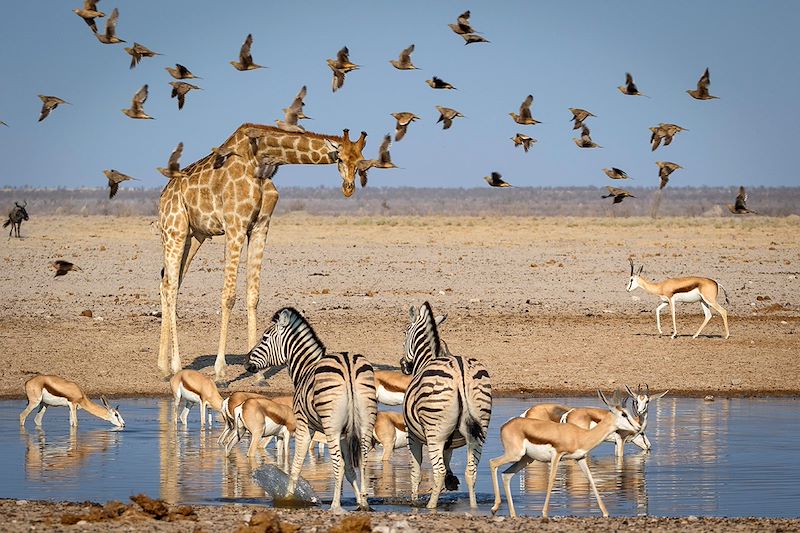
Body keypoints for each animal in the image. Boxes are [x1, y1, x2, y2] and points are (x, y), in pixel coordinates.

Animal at [157, 122, 368, 378]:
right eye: (340, 158)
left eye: (361, 163)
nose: (348, 188)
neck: (260, 160)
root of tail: (165, 193)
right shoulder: (235, 226)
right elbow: (229, 296)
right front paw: (220, 369)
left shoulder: (260, 227)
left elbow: (253, 296)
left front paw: (256, 370)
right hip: (174, 230)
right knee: (170, 286)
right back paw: (175, 366)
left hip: (194, 235)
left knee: (168, 283)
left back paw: (163, 365)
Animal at [244, 308, 378, 512]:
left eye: (265, 337)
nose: (245, 362)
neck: (305, 368)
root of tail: (348, 364)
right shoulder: (345, 434)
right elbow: (350, 470)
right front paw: (360, 501)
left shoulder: (303, 424)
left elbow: (296, 464)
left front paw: (288, 498)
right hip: (365, 424)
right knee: (362, 462)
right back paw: (363, 503)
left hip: (331, 426)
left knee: (337, 464)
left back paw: (335, 506)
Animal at [404, 304, 490, 508]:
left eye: (405, 332)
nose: (404, 366)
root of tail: (460, 372)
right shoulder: (449, 439)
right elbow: (448, 457)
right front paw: (452, 481)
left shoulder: (412, 435)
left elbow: (415, 473)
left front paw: (414, 502)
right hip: (479, 430)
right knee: (471, 471)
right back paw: (474, 507)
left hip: (434, 432)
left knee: (439, 471)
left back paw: (430, 506)